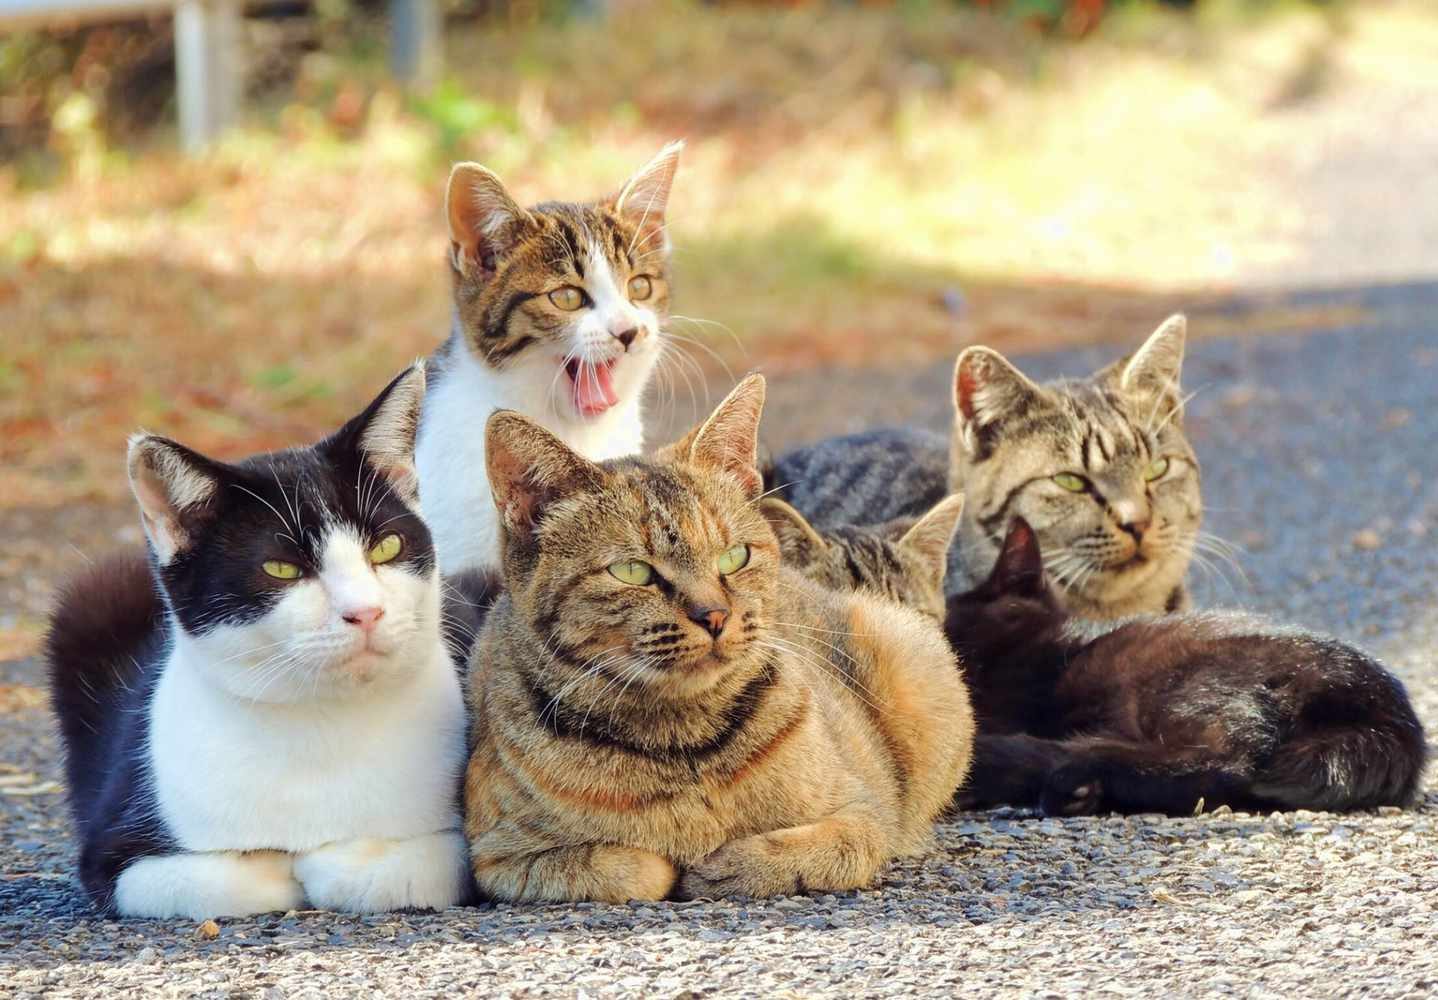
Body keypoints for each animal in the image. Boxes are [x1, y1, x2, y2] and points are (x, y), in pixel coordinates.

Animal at [46, 365, 472, 919]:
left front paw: (330, 859)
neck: (322, 723)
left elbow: (404, 867)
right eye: (281, 569)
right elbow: (229, 877)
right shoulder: (114, 850)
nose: (365, 612)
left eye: (387, 546)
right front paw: (285, 864)